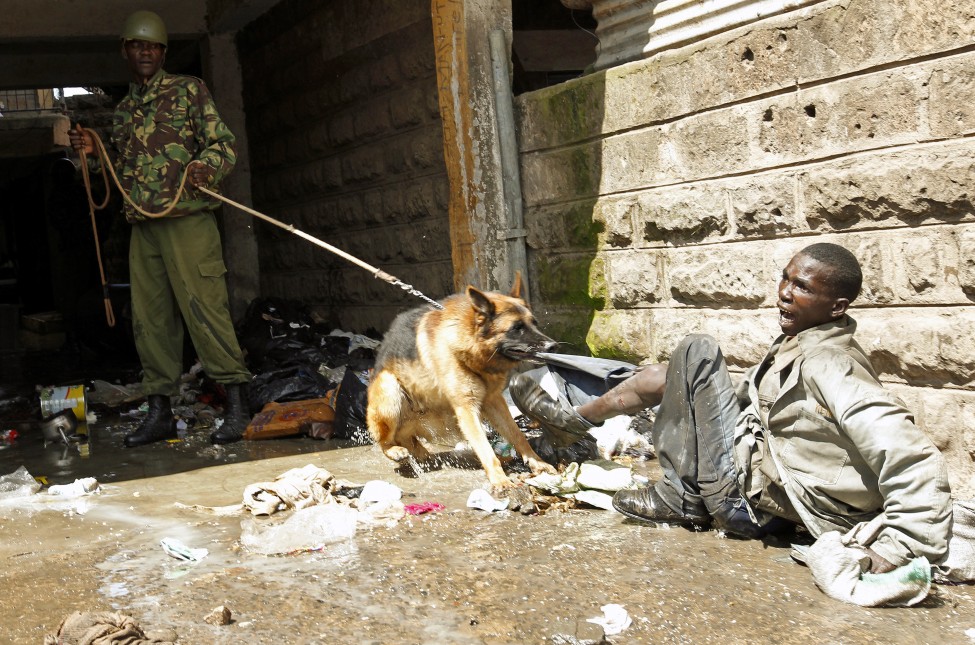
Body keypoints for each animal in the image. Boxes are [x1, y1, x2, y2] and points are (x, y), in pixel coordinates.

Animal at [366, 272, 560, 488]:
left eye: (534, 323)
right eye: (516, 328)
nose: (553, 346)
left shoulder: (494, 401)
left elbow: (517, 434)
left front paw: (537, 463)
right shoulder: (466, 408)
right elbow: (485, 448)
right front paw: (500, 480)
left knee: (408, 438)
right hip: (389, 389)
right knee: (384, 439)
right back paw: (394, 450)